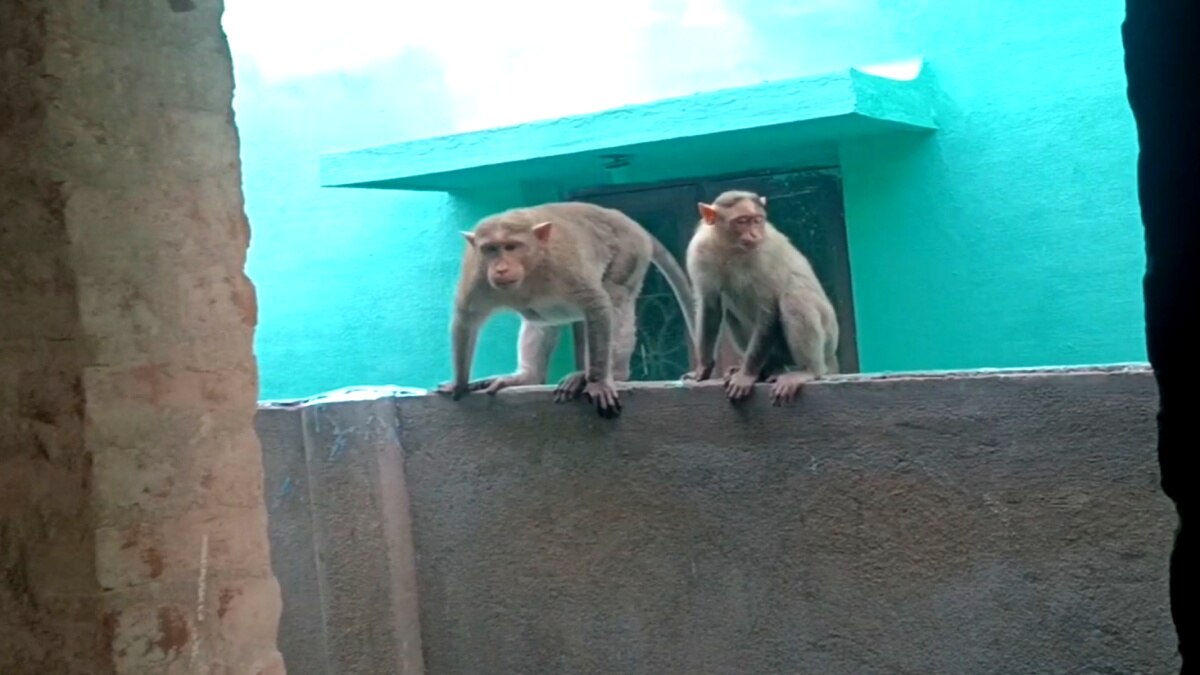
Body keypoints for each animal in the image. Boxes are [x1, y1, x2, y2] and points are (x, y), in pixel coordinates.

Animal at [434, 200, 696, 415]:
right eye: (490, 249)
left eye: (511, 247)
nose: (500, 269)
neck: (531, 268)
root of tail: (628, 221)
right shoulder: (476, 274)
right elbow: (466, 319)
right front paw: (459, 383)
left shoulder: (563, 265)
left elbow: (598, 304)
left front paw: (598, 382)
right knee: (541, 322)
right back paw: (527, 376)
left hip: (630, 252)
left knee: (617, 301)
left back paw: (608, 374)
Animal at [681, 187, 840, 403]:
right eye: (742, 221)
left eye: (757, 220)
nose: (755, 234)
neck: (730, 249)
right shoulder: (700, 252)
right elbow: (711, 305)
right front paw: (703, 368)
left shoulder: (764, 255)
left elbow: (768, 310)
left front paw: (746, 375)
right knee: (730, 310)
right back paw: (769, 369)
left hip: (828, 336)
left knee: (794, 299)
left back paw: (806, 370)